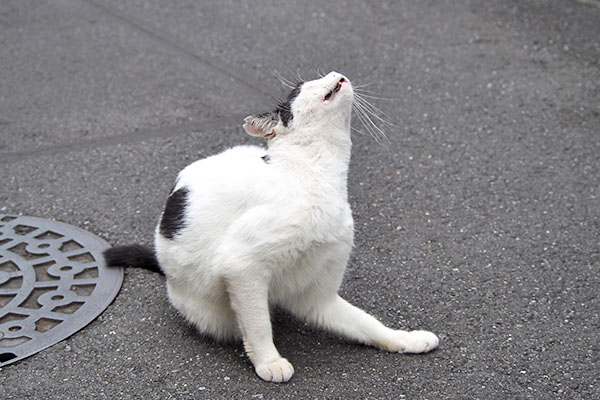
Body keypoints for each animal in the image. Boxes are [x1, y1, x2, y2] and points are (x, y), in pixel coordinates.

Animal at [105, 72, 438, 384]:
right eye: (302, 87)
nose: (335, 73)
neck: (318, 173)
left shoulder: (318, 296)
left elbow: (367, 324)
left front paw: (405, 339)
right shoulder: (243, 268)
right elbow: (258, 324)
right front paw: (269, 362)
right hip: (214, 315)